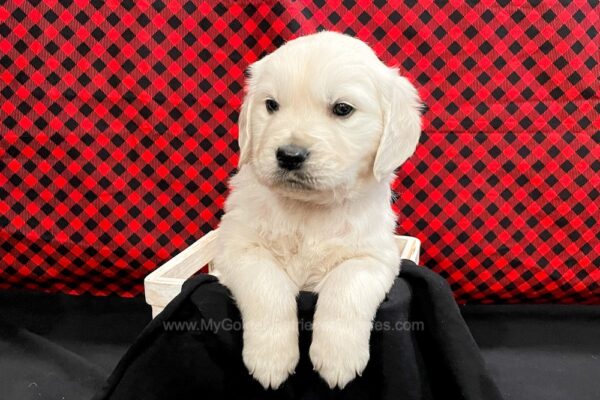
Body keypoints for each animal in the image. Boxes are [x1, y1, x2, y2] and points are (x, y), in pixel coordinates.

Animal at [211, 32, 422, 390]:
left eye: (342, 109)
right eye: (271, 105)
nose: (289, 155)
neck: (308, 210)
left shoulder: (374, 256)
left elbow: (346, 285)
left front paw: (338, 359)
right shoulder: (238, 246)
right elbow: (267, 285)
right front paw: (271, 359)